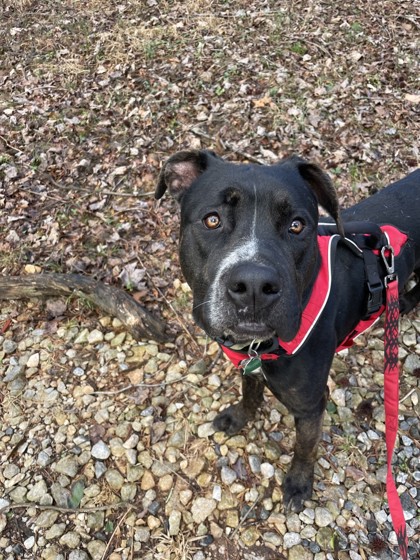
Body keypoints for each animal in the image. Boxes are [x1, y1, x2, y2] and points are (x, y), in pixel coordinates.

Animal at [155, 150, 420, 513]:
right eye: (212, 220)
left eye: (297, 225)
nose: (253, 285)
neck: (260, 346)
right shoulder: (250, 365)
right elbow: (250, 393)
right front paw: (239, 417)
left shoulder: (310, 405)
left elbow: (305, 446)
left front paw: (298, 483)